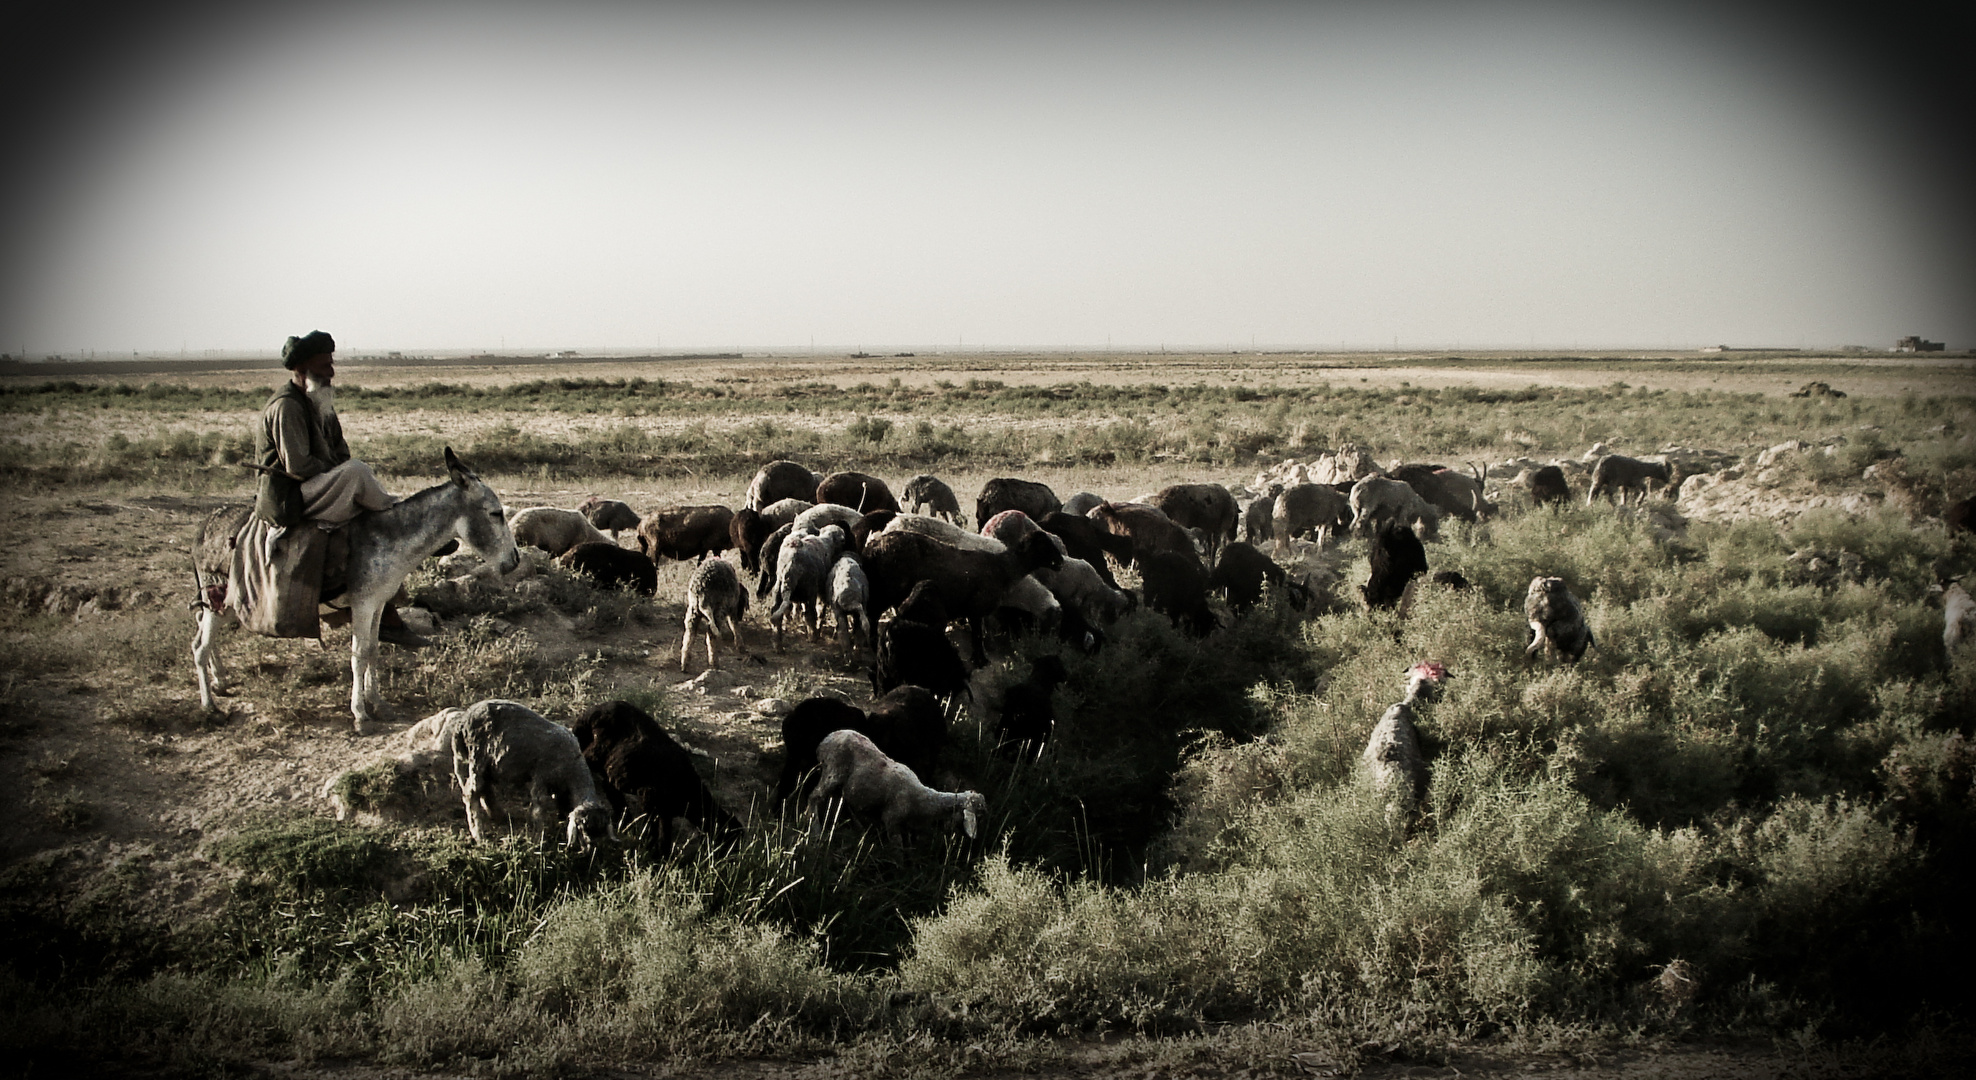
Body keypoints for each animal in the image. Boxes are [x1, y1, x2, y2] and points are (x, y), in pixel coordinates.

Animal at [450, 702, 616, 852]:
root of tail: (462, 723)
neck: (572, 768)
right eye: (583, 829)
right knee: (471, 794)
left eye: (602, 832)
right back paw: (479, 835)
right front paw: (539, 838)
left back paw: (498, 816)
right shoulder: (541, 777)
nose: (592, 849)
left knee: (484, 788)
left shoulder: (560, 787)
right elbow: (538, 808)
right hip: (478, 756)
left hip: (485, 765)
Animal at [576, 702, 746, 852]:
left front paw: (663, 855)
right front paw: (650, 848)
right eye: (728, 841)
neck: (692, 794)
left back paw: (626, 822)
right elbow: (650, 825)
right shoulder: (649, 796)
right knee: (583, 761)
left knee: (609, 786)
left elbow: (665, 834)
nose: (723, 860)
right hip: (597, 749)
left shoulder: (665, 810)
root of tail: (592, 711)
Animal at [806, 730, 984, 848]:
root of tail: (825, 741)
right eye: (979, 813)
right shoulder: (892, 821)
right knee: (814, 797)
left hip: (843, 782)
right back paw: (815, 831)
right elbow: (897, 849)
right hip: (832, 772)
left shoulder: (907, 827)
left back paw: (859, 828)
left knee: (842, 801)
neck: (923, 799)